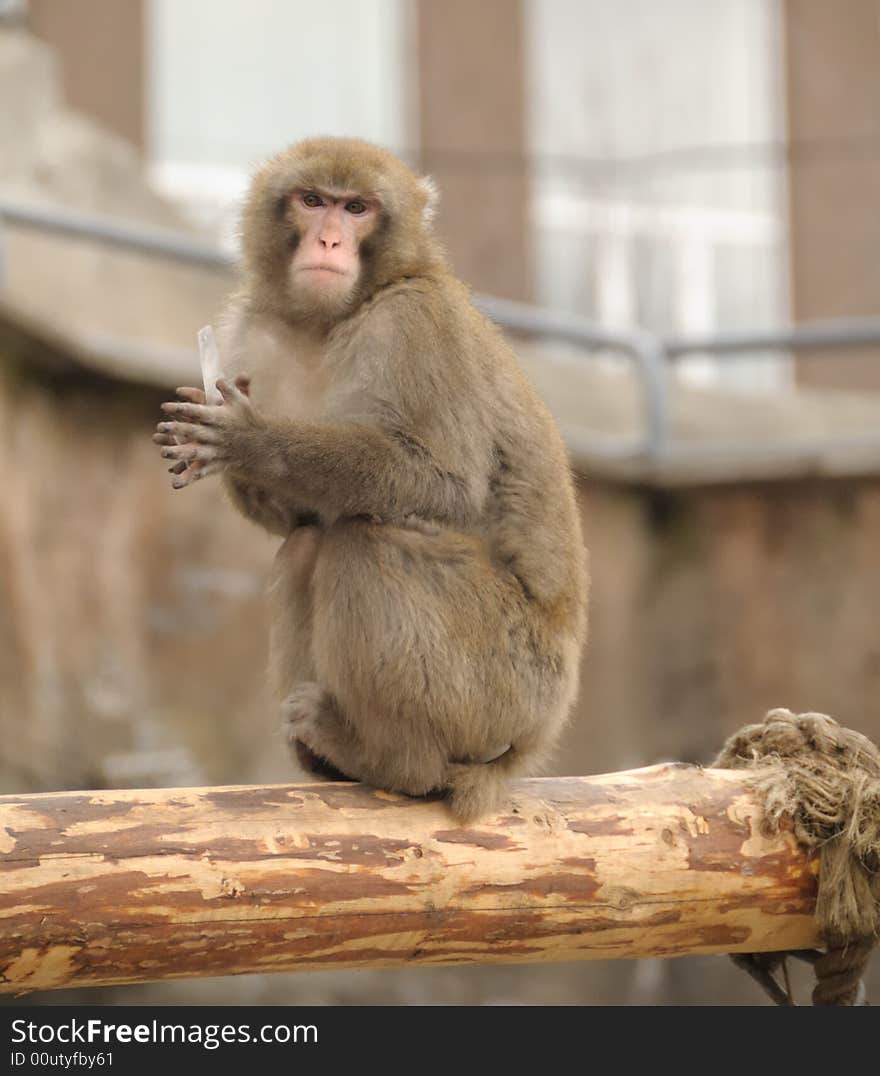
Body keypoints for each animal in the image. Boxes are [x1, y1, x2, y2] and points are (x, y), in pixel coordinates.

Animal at [153, 136, 585, 822]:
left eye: (356, 208)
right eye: (312, 201)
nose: (329, 239)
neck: (334, 317)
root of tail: (535, 742)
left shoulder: (412, 324)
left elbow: (442, 479)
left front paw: (252, 439)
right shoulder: (252, 333)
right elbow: (300, 517)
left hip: (505, 685)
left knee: (365, 540)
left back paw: (394, 761)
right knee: (306, 545)